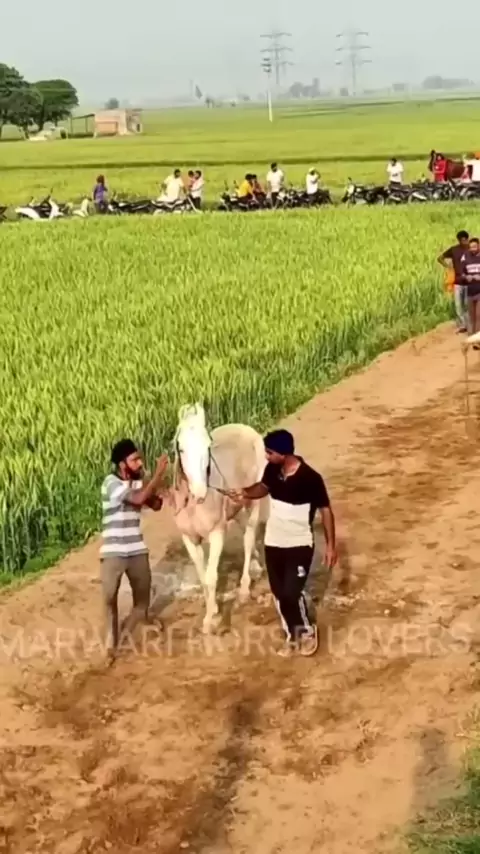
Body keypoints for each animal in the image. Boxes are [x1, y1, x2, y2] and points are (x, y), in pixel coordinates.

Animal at [167, 403, 267, 633]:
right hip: (236, 507)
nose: (200, 492)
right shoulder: (190, 539)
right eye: (181, 448)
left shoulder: (217, 534)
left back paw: (244, 589)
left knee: (248, 538)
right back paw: (256, 565)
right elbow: (203, 577)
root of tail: (247, 428)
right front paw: (212, 611)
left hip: (252, 504)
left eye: (207, 446)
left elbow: (211, 577)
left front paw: (210, 622)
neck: (193, 506)